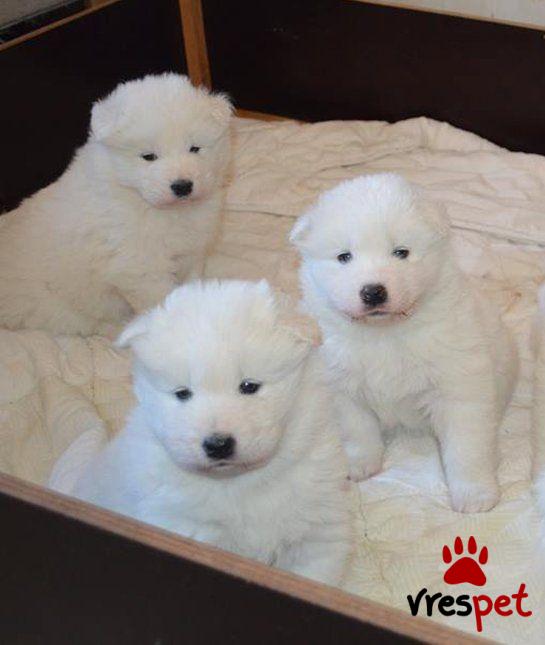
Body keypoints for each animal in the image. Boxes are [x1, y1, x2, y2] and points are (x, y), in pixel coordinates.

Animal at [0, 74, 232, 336]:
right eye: (149, 156)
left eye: (195, 148)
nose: (182, 186)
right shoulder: (140, 269)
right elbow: (161, 300)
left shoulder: (191, 252)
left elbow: (190, 282)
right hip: (58, 307)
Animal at [291, 173, 517, 513]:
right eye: (344, 257)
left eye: (401, 252)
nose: (373, 291)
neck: (384, 333)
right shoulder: (340, 385)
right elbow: (357, 428)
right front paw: (359, 464)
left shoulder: (459, 385)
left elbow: (467, 447)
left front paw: (475, 495)